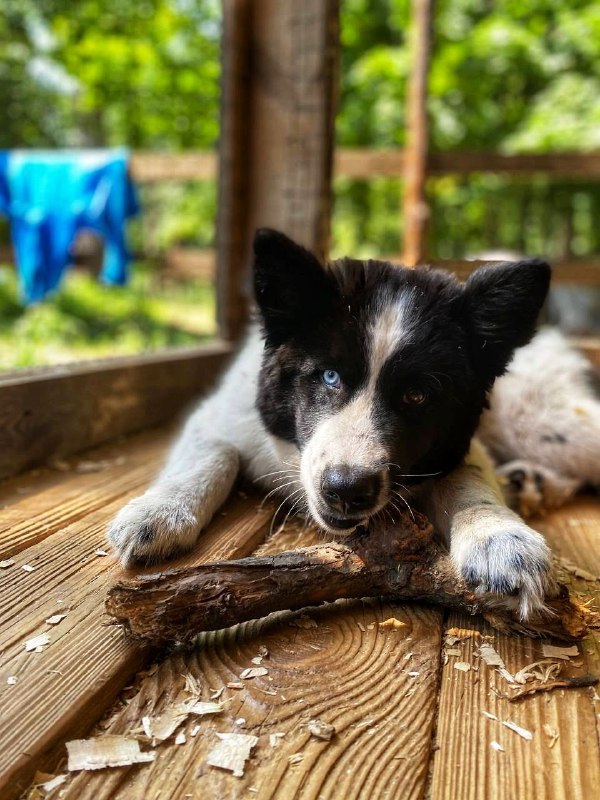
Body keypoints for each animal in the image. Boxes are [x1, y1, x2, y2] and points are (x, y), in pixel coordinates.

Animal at [106, 228, 600, 616]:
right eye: (329, 376)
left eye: (417, 395)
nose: (346, 490)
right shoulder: (219, 416)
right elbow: (212, 456)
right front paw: (161, 511)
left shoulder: (460, 446)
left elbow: (469, 480)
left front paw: (498, 536)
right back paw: (530, 482)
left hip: (538, 422)